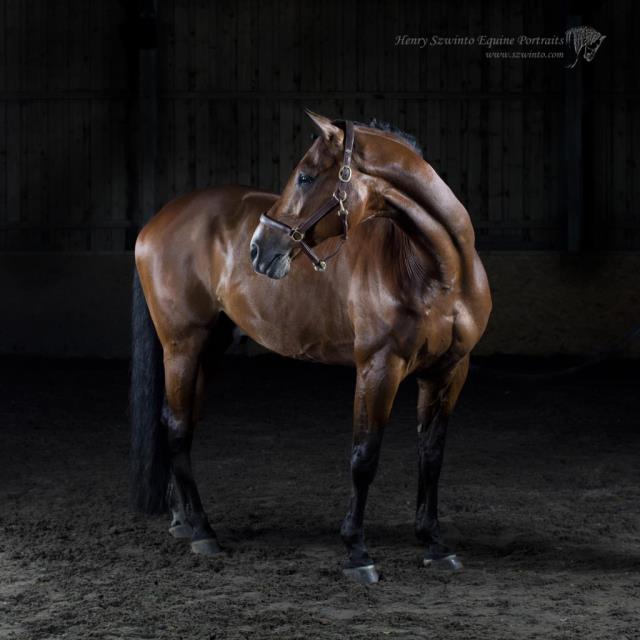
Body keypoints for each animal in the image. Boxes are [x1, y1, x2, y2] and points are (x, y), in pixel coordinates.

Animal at [129, 111, 490, 584]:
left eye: (304, 177)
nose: (259, 249)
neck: (434, 269)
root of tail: (154, 223)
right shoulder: (378, 367)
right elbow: (364, 457)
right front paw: (356, 552)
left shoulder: (448, 371)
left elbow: (431, 456)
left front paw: (434, 543)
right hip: (182, 346)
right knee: (175, 427)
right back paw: (202, 532)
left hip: (207, 350)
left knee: (181, 421)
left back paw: (182, 521)